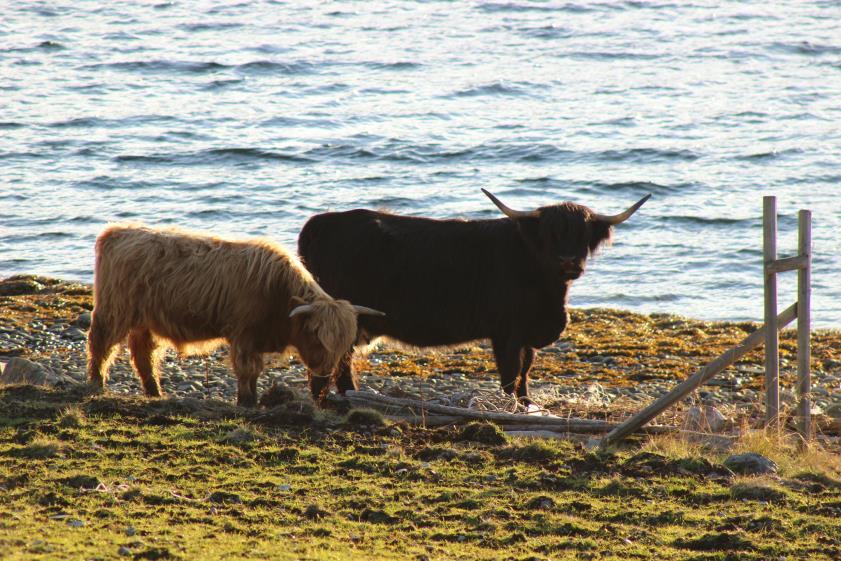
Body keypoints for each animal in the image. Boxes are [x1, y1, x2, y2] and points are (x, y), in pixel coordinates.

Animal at [86, 224, 384, 406]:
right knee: (101, 344)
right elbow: (247, 369)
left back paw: (154, 391)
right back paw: (97, 382)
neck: (278, 297)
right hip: (114, 310)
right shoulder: (244, 336)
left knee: (144, 353)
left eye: (343, 344)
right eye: (315, 334)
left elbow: (254, 372)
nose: (323, 372)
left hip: (145, 319)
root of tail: (117, 232)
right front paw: (247, 402)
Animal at [296, 190, 648, 400]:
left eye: (583, 235)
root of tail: (321, 221)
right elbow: (510, 373)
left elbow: (526, 371)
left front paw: (527, 402)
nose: (568, 263)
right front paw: (511, 406)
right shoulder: (506, 333)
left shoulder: (527, 335)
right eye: (550, 234)